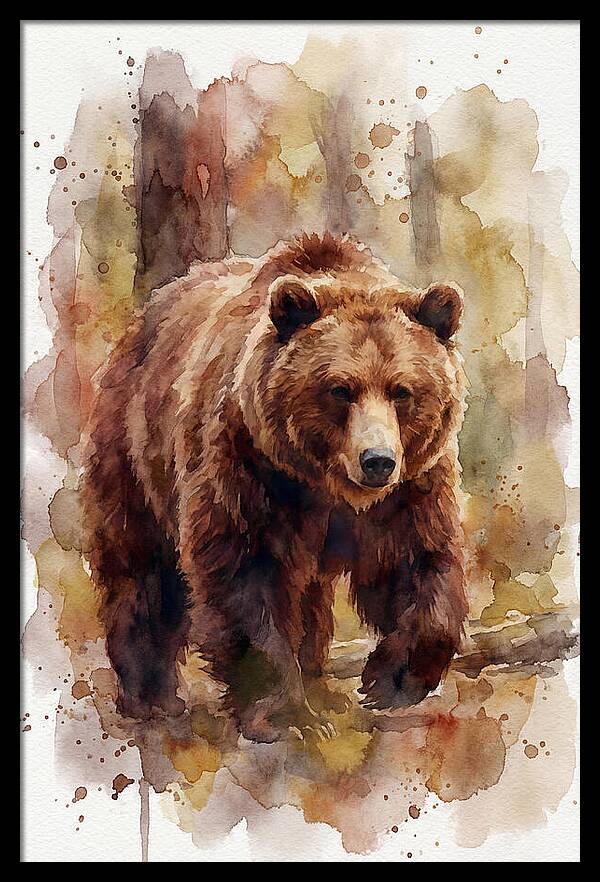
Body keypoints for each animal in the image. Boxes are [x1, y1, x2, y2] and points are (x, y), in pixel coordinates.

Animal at [81, 232, 468, 743]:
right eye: (340, 389)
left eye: (401, 390)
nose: (377, 461)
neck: (325, 484)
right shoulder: (249, 465)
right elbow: (247, 572)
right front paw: (281, 712)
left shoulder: (409, 487)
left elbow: (418, 559)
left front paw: (391, 679)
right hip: (135, 447)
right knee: (142, 568)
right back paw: (151, 696)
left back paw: (318, 681)